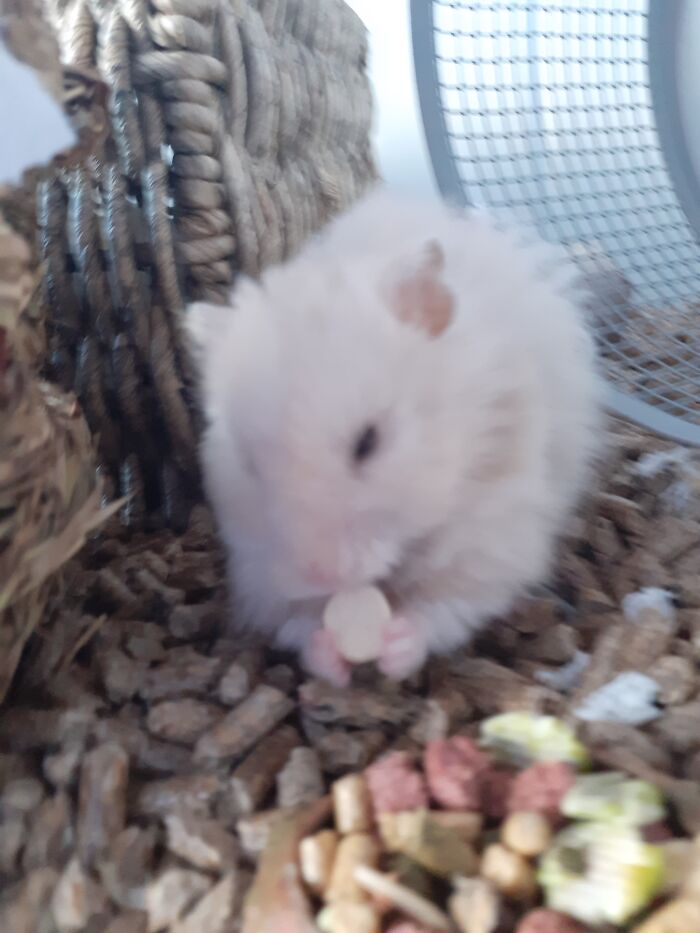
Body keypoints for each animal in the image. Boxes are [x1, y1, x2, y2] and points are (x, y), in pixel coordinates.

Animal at [188, 187, 603, 686]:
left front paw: (395, 644)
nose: (321, 575)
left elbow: (447, 607)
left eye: (368, 442)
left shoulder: (493, 534)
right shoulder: (257, 569)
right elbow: (297, 623)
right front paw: (330, 651)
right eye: (250, 464)